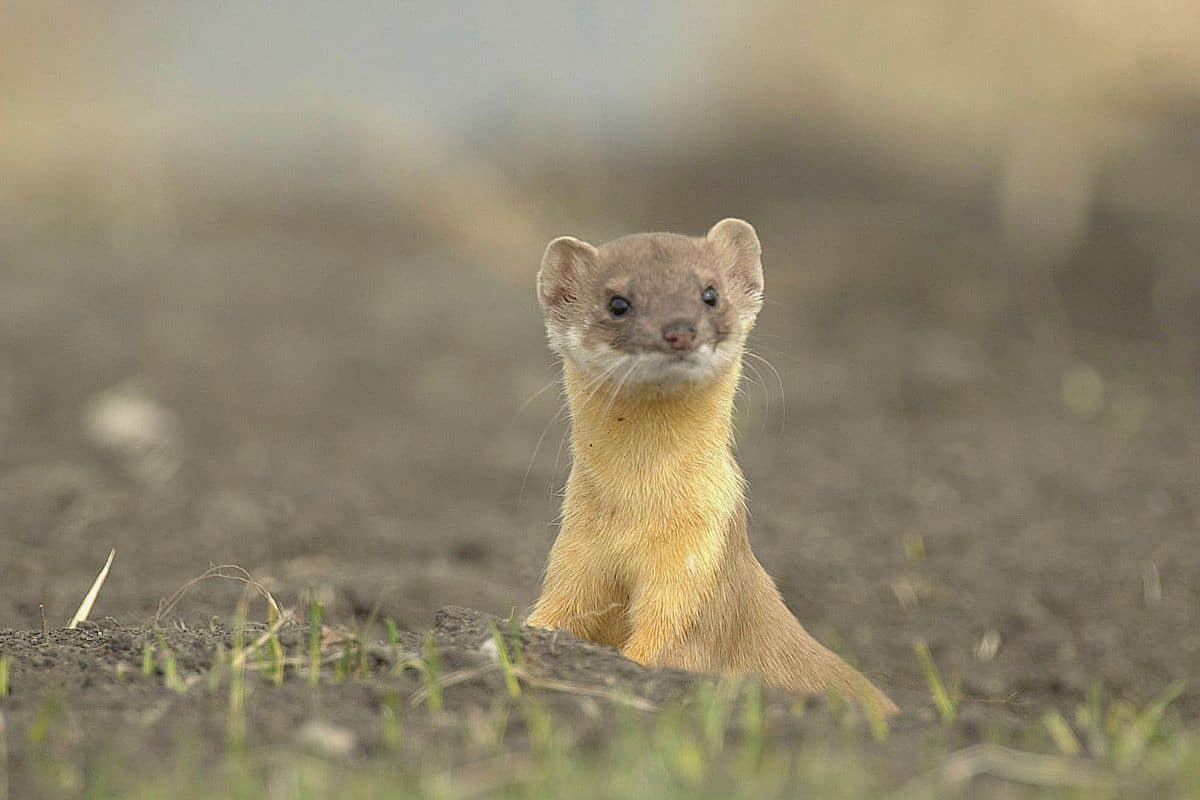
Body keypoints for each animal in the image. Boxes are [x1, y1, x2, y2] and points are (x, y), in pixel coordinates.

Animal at [528, 215, 902, 714]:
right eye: (618, 303)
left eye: (710, 293)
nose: (680, 329)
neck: (638, 513)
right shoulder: (576, 556)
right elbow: (553, 614)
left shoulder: (697, 566)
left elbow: (665, 642)